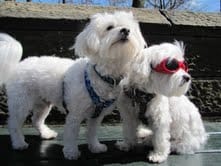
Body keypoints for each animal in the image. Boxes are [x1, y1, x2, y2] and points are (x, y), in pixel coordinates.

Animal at [0, 11, 147, 160]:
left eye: (129, 28)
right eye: (109, 27)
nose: (126, 30)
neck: (102, 75)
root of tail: (17, 66)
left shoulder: (96, 115)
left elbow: (92, 132)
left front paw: (95, 147)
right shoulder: (75, 113)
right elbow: (71, 134)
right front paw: (71, 152)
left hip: (43, 104)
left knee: (36, 120)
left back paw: (46, 134)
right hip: (21, 102)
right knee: (14, 123)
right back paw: (19, 143)